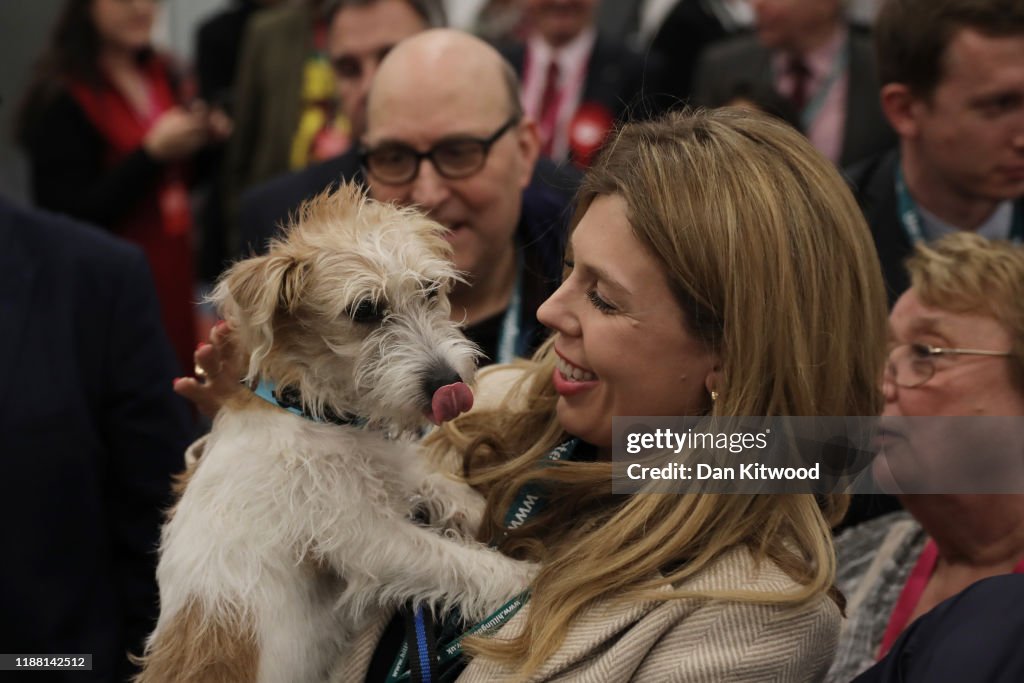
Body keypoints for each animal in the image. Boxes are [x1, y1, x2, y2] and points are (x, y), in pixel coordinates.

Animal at [135, 185, 532, 683]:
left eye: (429, 289)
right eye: (364, 311)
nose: (449, 383)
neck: (312, 412)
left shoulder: (385, 469)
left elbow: (435, 481)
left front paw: (485, 508)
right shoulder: (368, 537)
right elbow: (459, 563)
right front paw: (529, 577)